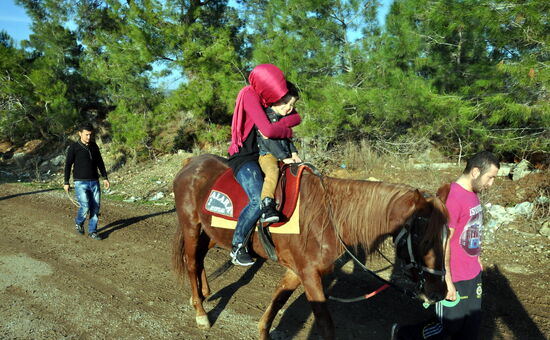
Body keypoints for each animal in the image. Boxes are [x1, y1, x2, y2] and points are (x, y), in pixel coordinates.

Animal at [175, 155, 450, 340]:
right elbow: (325, 325)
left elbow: (277, 300)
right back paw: (200, 311)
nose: (439, 291)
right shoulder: (309, 275)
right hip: (191, 226)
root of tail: (191, 162)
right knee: (192, 262)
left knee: (201, 257)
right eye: (424, 239)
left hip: (211, 231)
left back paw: (201, 293)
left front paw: (263, 331)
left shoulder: (297, 272)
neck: (328, 216)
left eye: (446, 236)